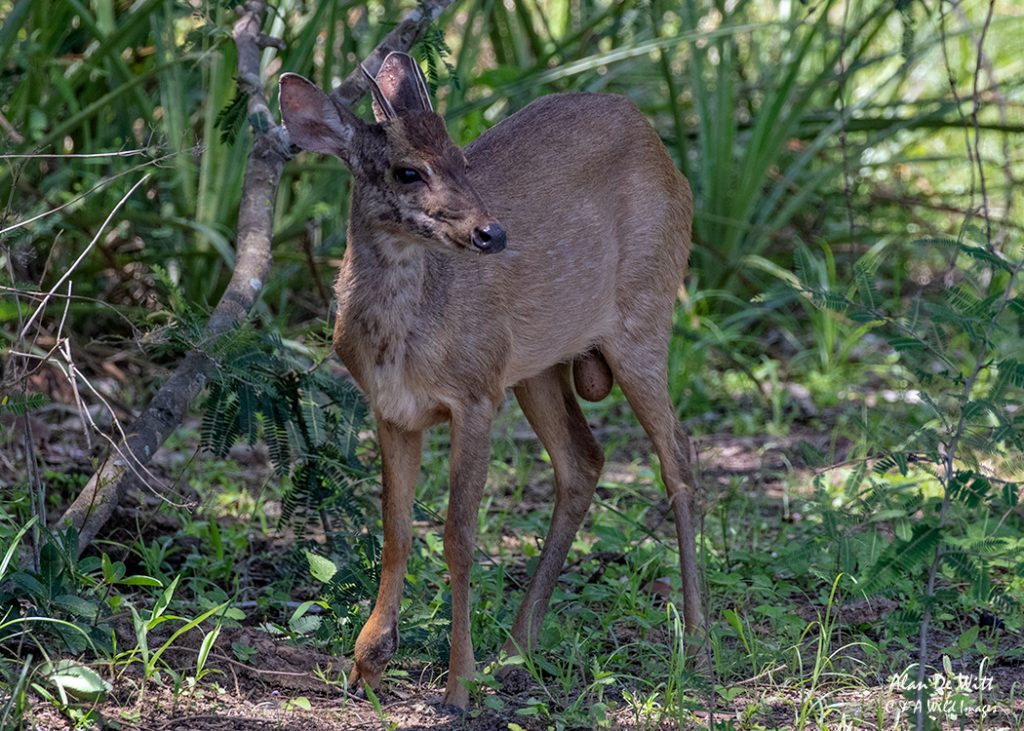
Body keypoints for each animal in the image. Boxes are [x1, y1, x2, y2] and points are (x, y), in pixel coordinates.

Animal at [278, 52, 703, 710]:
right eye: (407, 171)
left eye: (461, 157)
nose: (492, 234)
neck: (403, 340)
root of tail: (661, 148)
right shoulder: (392, 410)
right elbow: (396, 529)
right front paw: (368, 664)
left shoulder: (475, 393)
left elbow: (459, 536)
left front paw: (458, 684)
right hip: (537, 365)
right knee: (583, 460)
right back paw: (517, 647)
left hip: (644, 316)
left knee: (677, 454)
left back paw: (698, 639)